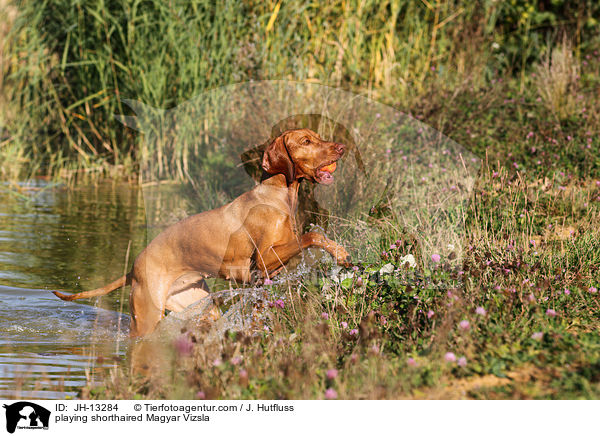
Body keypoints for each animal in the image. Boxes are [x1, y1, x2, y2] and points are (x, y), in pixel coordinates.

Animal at [53, 129, 352, 338]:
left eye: (317, 136)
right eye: (306, 141)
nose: (342, 147)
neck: (277, 196)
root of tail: (134, 267)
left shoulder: (267, 275)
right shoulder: (263, 260)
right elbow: (312, 237)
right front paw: (340, 253)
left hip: (198, 304)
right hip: (146, 316)